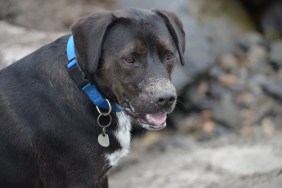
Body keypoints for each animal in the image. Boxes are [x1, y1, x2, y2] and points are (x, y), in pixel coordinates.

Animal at [0, 8, 185, 188]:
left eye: (169, 55)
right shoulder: (78, 180)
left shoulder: (100, 177)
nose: (166, 98)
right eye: (129, 59)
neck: (84, 84)